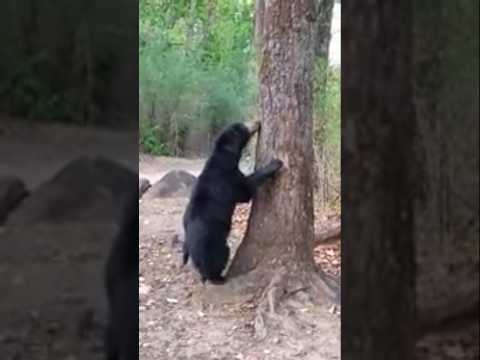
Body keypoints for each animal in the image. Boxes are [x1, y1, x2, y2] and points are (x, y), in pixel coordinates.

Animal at [183, 121, 282, 284]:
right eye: (243, 127)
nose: (257, 122)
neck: (225, 155)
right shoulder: (229, 179)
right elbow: (246, 190)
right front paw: (275, 163)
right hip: (214, 245)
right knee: (220, 257)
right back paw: (219, 277)